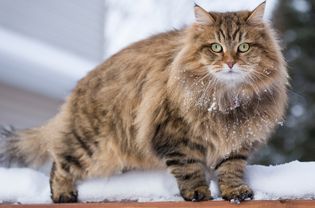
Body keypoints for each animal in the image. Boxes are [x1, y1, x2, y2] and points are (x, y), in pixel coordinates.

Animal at [0, 1, 288, 203]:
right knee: (59, 162)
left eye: (244, 47)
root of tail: (81, 86)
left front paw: (235, 192)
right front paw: (197, 192)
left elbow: (231, 169)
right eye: (216, 47)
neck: (226, 100)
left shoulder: (236, 141)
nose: (230, 63)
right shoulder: (175, 136)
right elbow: (189, 169)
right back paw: (63, 195)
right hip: (90, 144)